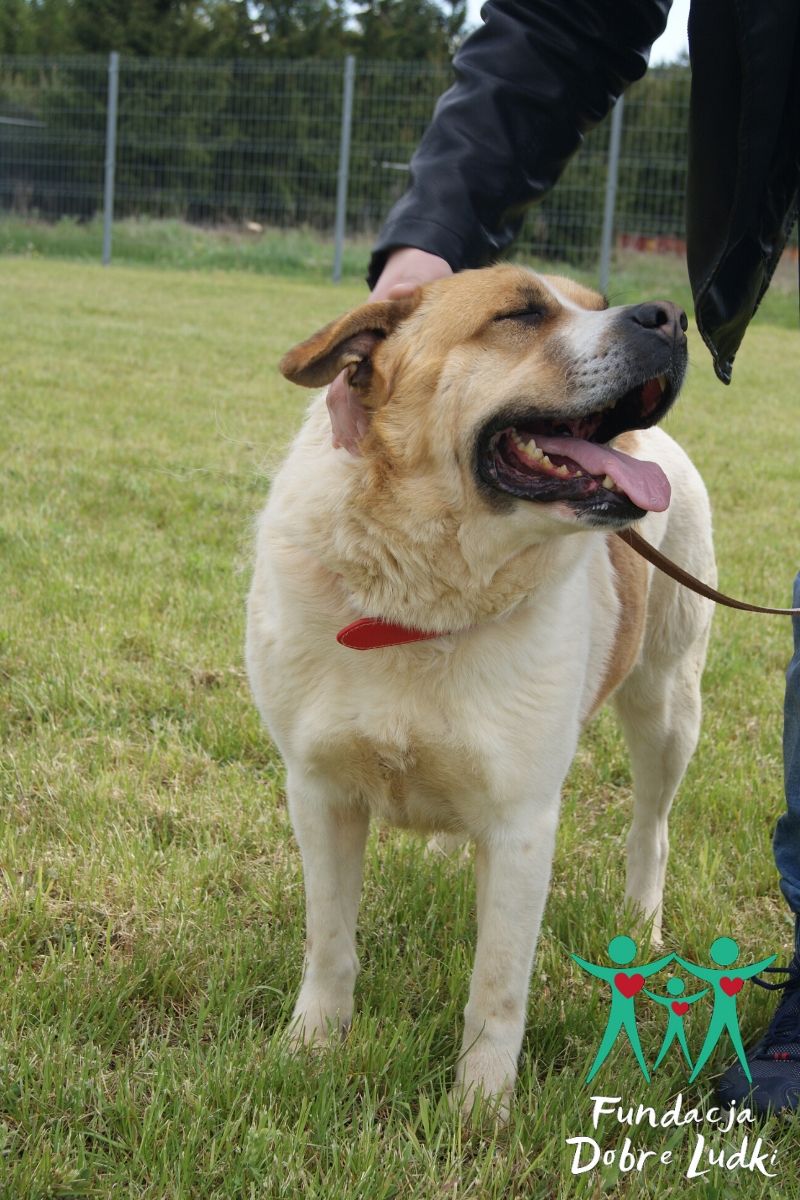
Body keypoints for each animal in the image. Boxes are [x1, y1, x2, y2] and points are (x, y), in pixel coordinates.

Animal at [246, 265, 716, 1116]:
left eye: (595, 306)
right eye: (518, 313)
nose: (669, 316)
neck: (420, 608)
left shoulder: (522, 823)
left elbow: (497, 987)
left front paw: (480, 1109)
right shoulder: (319, 791)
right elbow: (329, 941)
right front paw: (311, 1050)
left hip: (668, 706)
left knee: (652, 829)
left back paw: (642, 922)